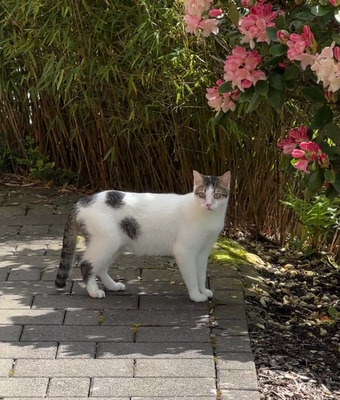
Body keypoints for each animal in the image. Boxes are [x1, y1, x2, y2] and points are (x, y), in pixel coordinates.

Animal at [55, 170, 231, 302]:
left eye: (217, 195)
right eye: (202, 194)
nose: (208, 204)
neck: (207, 216)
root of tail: (83, 200)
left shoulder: (203, 252)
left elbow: (200, 274)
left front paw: (204, 291)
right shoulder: (185, 251)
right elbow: (192, 276)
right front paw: (196, 296)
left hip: (115, 245)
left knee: (101, 268)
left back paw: (113, 286)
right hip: (106, 243)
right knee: (85, 264)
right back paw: (94, 291)